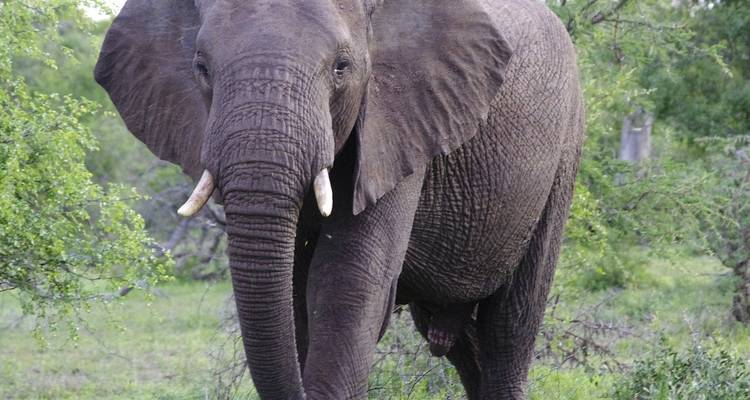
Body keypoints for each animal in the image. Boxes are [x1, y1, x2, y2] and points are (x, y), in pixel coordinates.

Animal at [94, 0, 585, 398]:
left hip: (564, 152)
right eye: (201, 67)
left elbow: (347, 278)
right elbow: (294, 290)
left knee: (510, 327)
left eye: (342, 67)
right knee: (464, 346)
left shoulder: (401, 118)